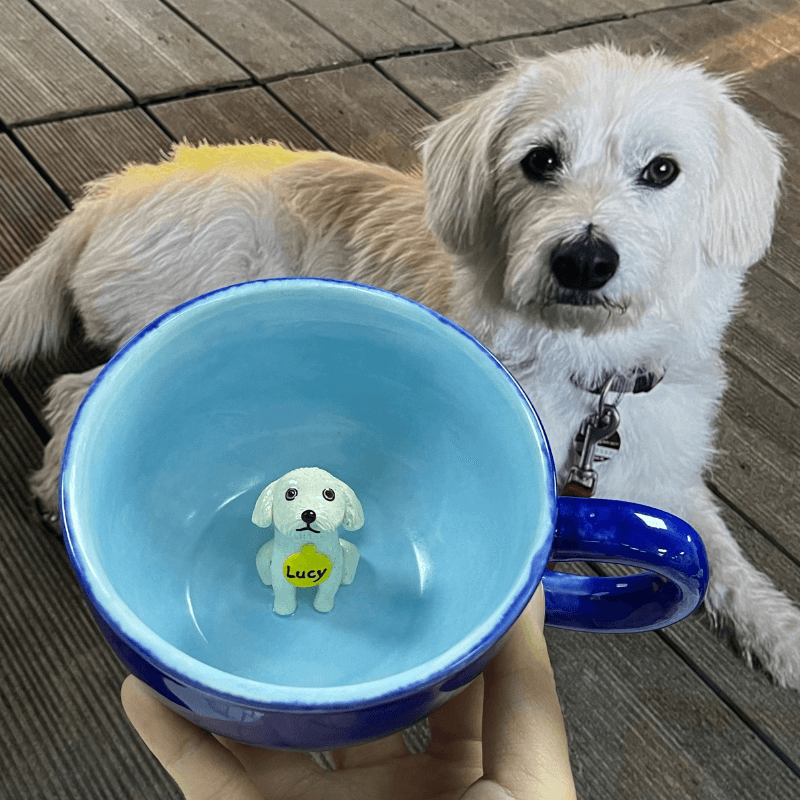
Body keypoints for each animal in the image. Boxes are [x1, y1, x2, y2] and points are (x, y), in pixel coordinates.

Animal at [253, 466, 362, 616]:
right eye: (290, 493)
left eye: (329, 493)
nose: (309, 514)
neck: (307, 542)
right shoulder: (279, 572)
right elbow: (283, 592)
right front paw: (284, 610)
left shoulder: (333, 573)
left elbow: (327, 592)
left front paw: (323, 608)